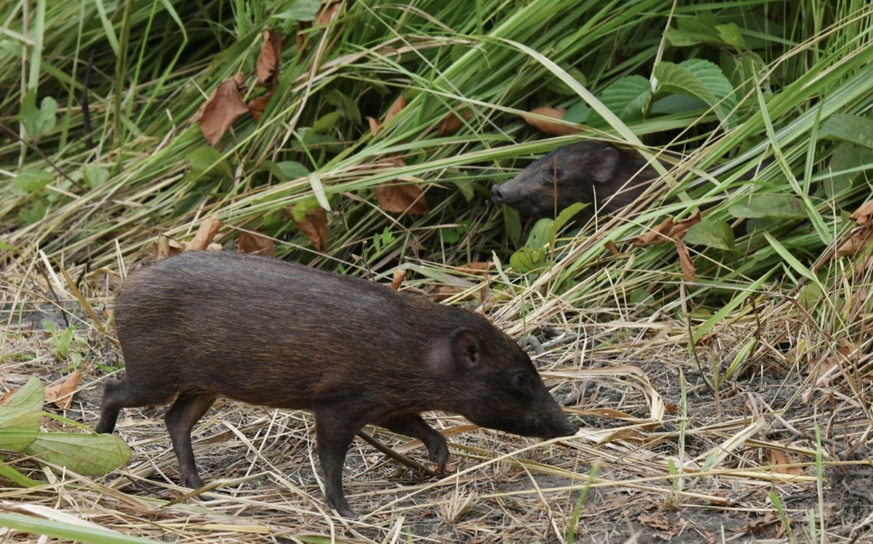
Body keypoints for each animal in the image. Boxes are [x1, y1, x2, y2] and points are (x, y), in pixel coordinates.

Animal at [97, 251, 572, 520]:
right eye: (521, 377)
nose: (573, 425)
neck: (414, 352)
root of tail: (121, 293)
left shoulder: (385, 405)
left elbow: (419, 427)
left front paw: (439, 459)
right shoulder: (337, 404)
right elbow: (331, 460)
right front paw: (347, 513)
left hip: (202, 384)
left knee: (176, 420)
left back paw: (196, 486)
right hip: (155, 373)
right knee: (111, 388)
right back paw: (100, 439)